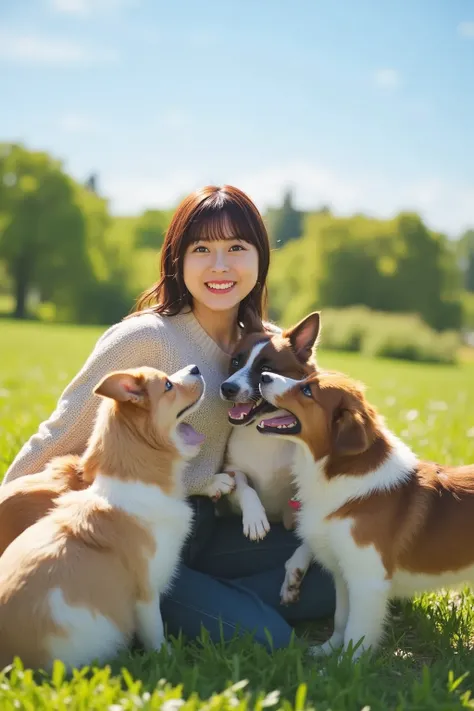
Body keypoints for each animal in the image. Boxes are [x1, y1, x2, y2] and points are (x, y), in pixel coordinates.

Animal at [218, 312, 318, 552]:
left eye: (267, 371)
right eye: (236, 361)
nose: (227, 388)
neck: (265, 429)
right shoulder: (232, 469)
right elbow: (245, 486)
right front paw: (255, 518)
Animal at [258, 370, 474, 660]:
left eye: (307, 391)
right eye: (306, 378)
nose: (263, 375)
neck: (339, 473)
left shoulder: (368, 581)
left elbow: (357, 631)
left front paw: (346, 665)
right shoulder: (343, 573)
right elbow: (341, 619)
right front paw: (328, 650)